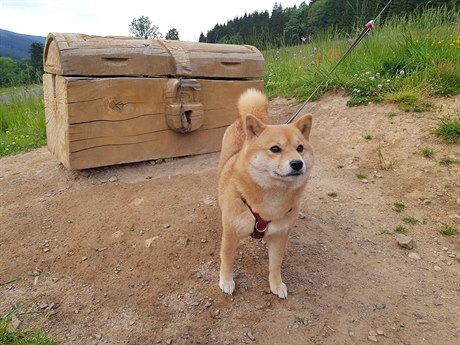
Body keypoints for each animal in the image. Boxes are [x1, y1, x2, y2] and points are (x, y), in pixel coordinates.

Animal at [217, 87, 312, 296]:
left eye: (300, 148)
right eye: (275, 149)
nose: (297, 163)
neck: (272, 200)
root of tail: (243, 119)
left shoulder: (280, 235)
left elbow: (275, 265)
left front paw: (276, 284)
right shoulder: (231, 233)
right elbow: (227, 260)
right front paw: (226, 281)